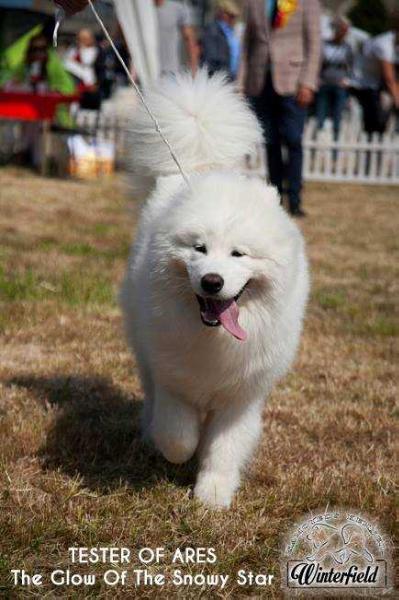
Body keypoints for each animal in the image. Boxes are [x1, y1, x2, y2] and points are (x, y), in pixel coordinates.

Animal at [120, 72, 310, 508]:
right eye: (199, 249)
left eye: (239, 254)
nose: (212, 281)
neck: (214, 340)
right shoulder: (174, 378)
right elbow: (178, 433)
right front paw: (178, 452)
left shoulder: (242, 397)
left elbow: (225, 447)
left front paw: (213, 494)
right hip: (143, 349)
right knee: (150, 396)